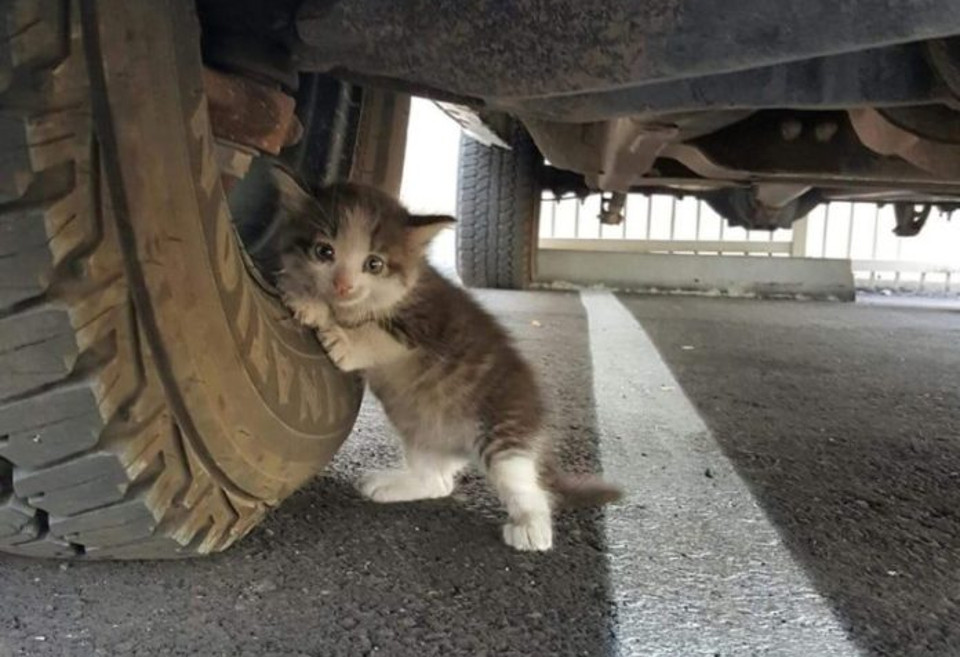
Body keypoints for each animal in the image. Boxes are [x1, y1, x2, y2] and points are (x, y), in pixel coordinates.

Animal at [268, 167, 624, 552]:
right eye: (324, 251)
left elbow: (377, 333)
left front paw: (340, 333)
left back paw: (532, 526)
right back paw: (394, 484)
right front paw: (307, 297)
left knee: (525, 484)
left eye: (373, 263)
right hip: (420, 430)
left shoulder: (428, 323)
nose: (343, 285)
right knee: (439, 482)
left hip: (503, 430)